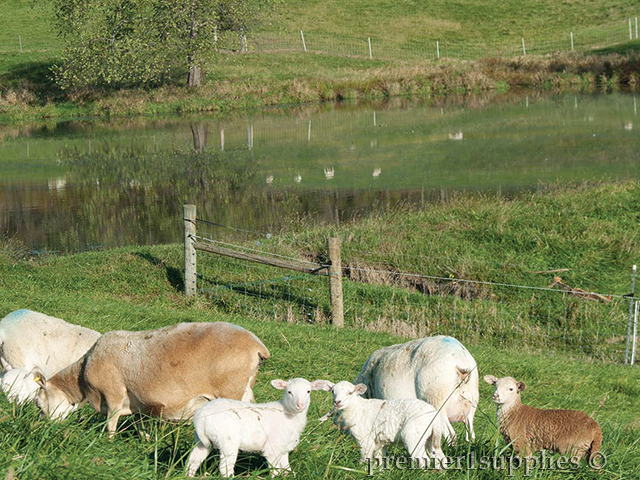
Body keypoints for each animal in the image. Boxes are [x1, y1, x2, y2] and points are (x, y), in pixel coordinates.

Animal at [35, 320, 270, 436]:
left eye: (38, 403)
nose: (44, 428)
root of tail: (258, 346)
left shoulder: (113, 395)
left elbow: (110, 426)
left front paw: (108, 443)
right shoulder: (138, 404)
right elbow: (141, 427)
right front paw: (146, 443)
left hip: (230, 392)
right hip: (246, 389)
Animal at [182, 378, 328, 476]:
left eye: (308, 391)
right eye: (289, 392)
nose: (300, 405)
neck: (287, 413)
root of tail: (202, 415)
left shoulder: (284, 448)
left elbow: (286, 469)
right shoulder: (273, 448)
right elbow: (275, 470)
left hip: (201, 440)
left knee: (193, 462)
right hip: (227, 440)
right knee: (225, 467)